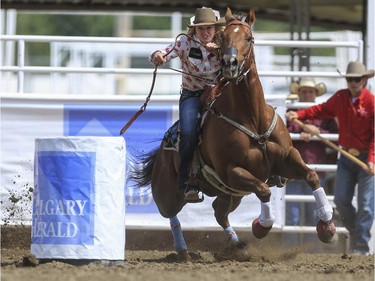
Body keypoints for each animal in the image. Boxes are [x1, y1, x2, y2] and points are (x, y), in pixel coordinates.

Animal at [130, 7, 338, 260]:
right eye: (223, 38)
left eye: (248, 38)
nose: (230, 63)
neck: (252, 118)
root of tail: (162, 149)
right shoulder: (232, 172)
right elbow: (264, 190)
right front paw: (261, 226)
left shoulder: (287, 158)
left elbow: (312, 176)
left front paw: (327, 227)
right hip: (169, 192)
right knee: (171, 214)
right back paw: (182, 250)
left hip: (232, 194)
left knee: (219, 213)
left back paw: (237, 246)